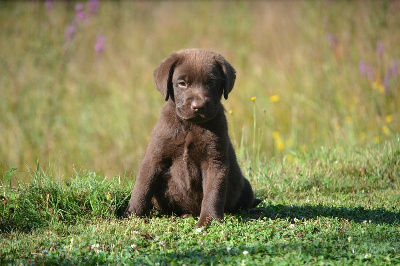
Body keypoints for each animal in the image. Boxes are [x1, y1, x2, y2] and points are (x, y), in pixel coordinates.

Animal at [126, 48, 260, 227]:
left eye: (211, 82)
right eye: (182, 83)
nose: (198, 106)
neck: (190, 125)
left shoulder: (215, 161)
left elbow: (213, 194)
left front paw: (209, 221)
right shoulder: (154, 157)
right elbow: (142, 188)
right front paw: (132, 215)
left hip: (245, 186)